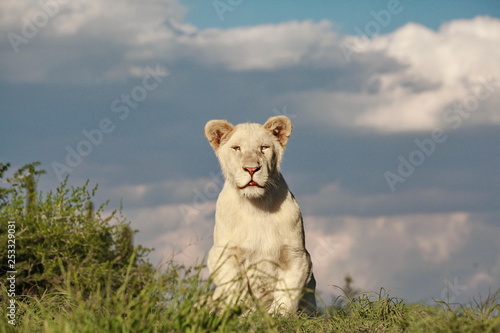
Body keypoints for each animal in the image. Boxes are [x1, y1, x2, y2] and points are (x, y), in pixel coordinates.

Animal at [204, 115, 314, 312]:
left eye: (264, 147)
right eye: (237, 148)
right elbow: (236, 291)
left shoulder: (297, 256)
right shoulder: (222, 254)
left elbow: (286, 295)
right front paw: (247, 314)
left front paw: (276, 315)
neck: (256, 206)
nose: (251, 169)